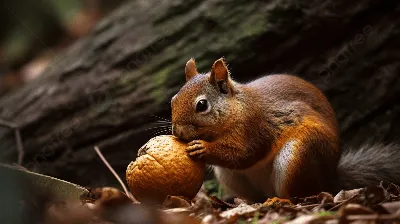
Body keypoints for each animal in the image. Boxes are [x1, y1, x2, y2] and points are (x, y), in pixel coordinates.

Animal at [170, 57, 400, 202]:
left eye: (202, 105)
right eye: (173, 99)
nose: (177, 132)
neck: (236, 109)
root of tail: (330, 177)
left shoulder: (255, 126)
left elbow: (245, 154)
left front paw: (203, 149)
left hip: (299, 155)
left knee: (298, 194)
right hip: (230, 177)